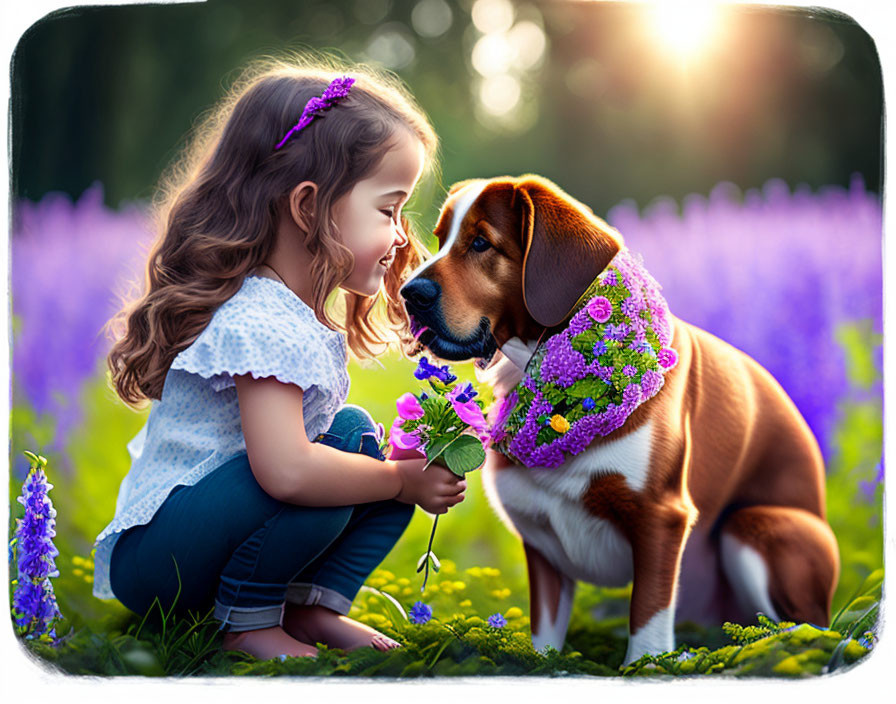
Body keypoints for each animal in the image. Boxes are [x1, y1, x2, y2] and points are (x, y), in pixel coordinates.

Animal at [400, 175, 840, 664]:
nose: (407, 293)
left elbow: (647, 621)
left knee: (805, 631)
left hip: (757, 525)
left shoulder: (661, 517)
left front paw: (643, 668)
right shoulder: (541, 539)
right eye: (440, 239)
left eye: (481, 242)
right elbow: (545, 637)